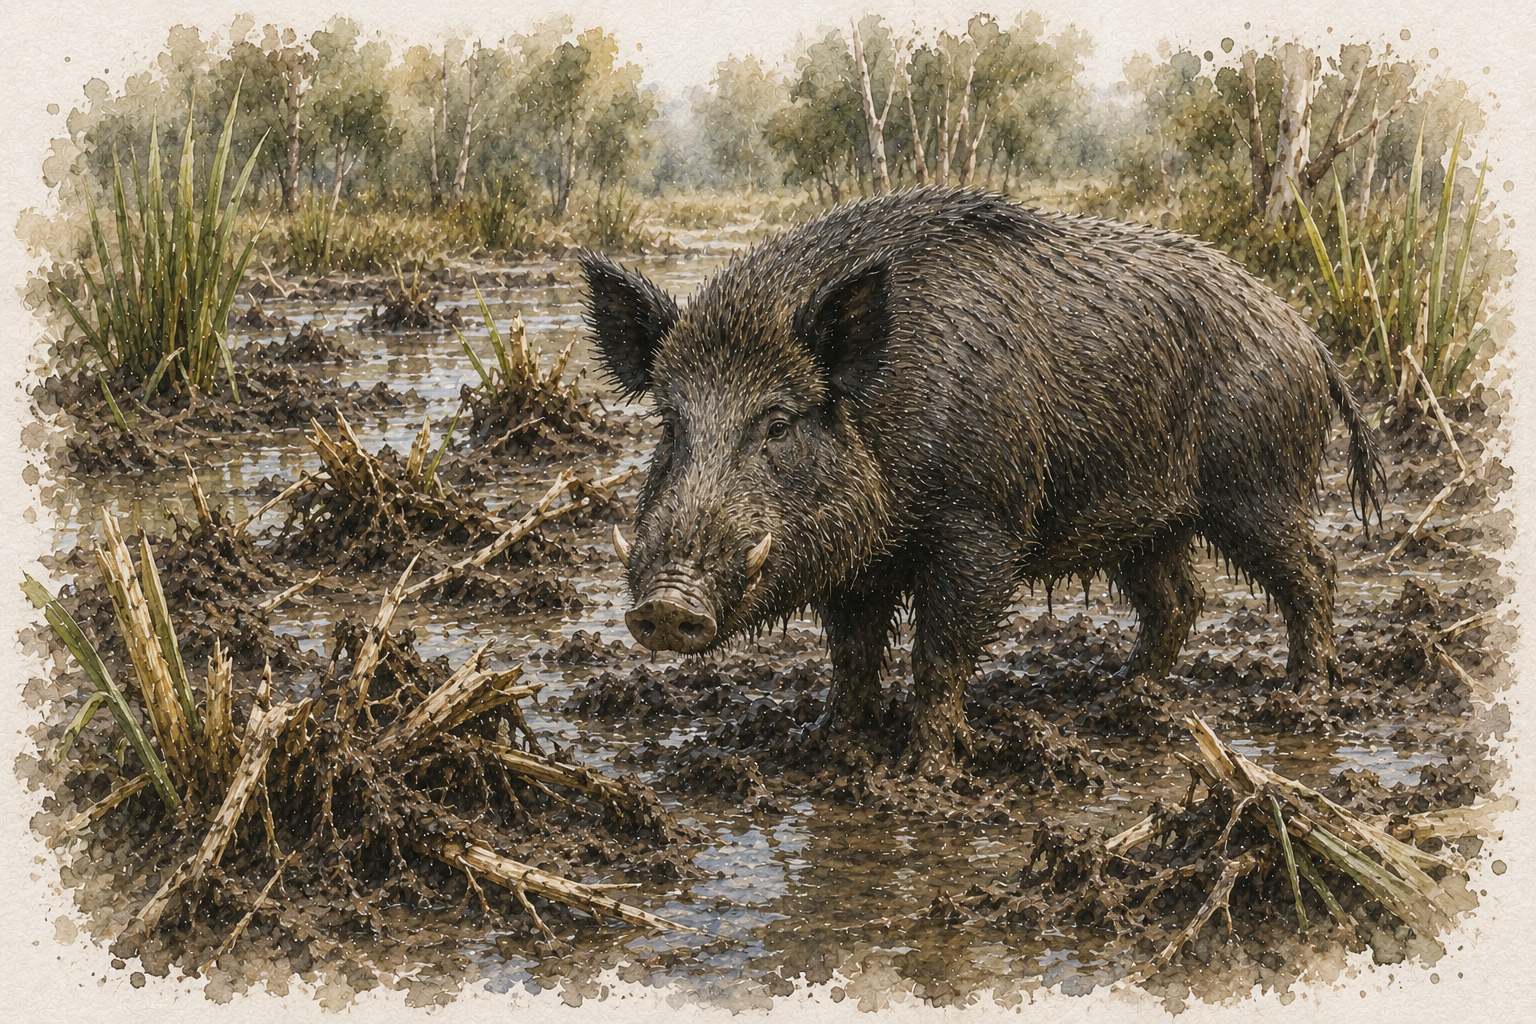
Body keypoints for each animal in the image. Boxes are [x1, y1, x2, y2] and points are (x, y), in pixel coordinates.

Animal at [581, 188, 1383, 775]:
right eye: (669, 422)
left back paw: (1303, 695)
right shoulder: (857, 562)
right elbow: (851, 654)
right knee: (1180, 599)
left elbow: (942, 647)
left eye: (777, 423)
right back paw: (1119, 699)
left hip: (1256, 484)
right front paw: (824, 742)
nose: (665, 605)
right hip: (1145, 517)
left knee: (1314, 571)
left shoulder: (983, 520)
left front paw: (925, 770)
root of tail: (1309, 337)